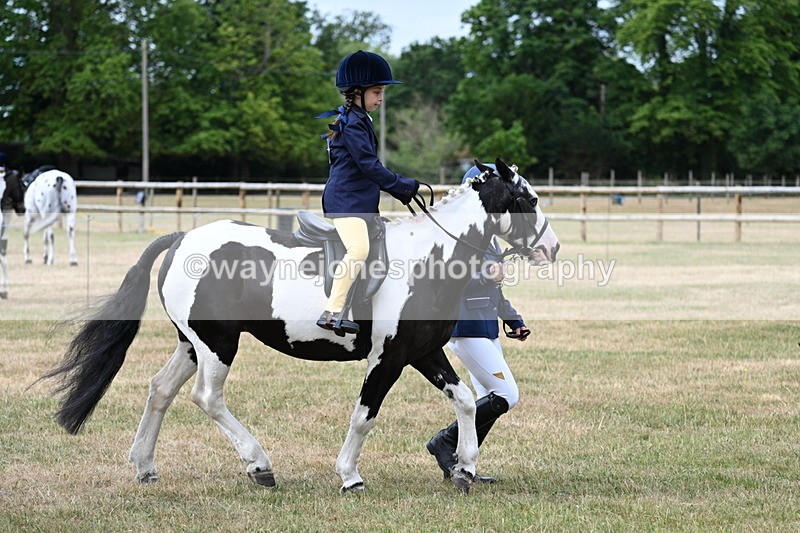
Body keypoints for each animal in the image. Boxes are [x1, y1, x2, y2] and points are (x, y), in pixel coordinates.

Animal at [41, 158, 560, 493]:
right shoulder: (387, 358)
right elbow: (364, 416)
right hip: (218, 343)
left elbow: (467, 401)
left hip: (193, 343)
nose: (551, 248)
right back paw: (259, 466)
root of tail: (183, 236)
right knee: (207, 398)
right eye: (527, 199)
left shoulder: (422, 352)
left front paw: (465, 469)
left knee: (160, 390)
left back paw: (145, 466)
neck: (426, 260)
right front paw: (349, 476)